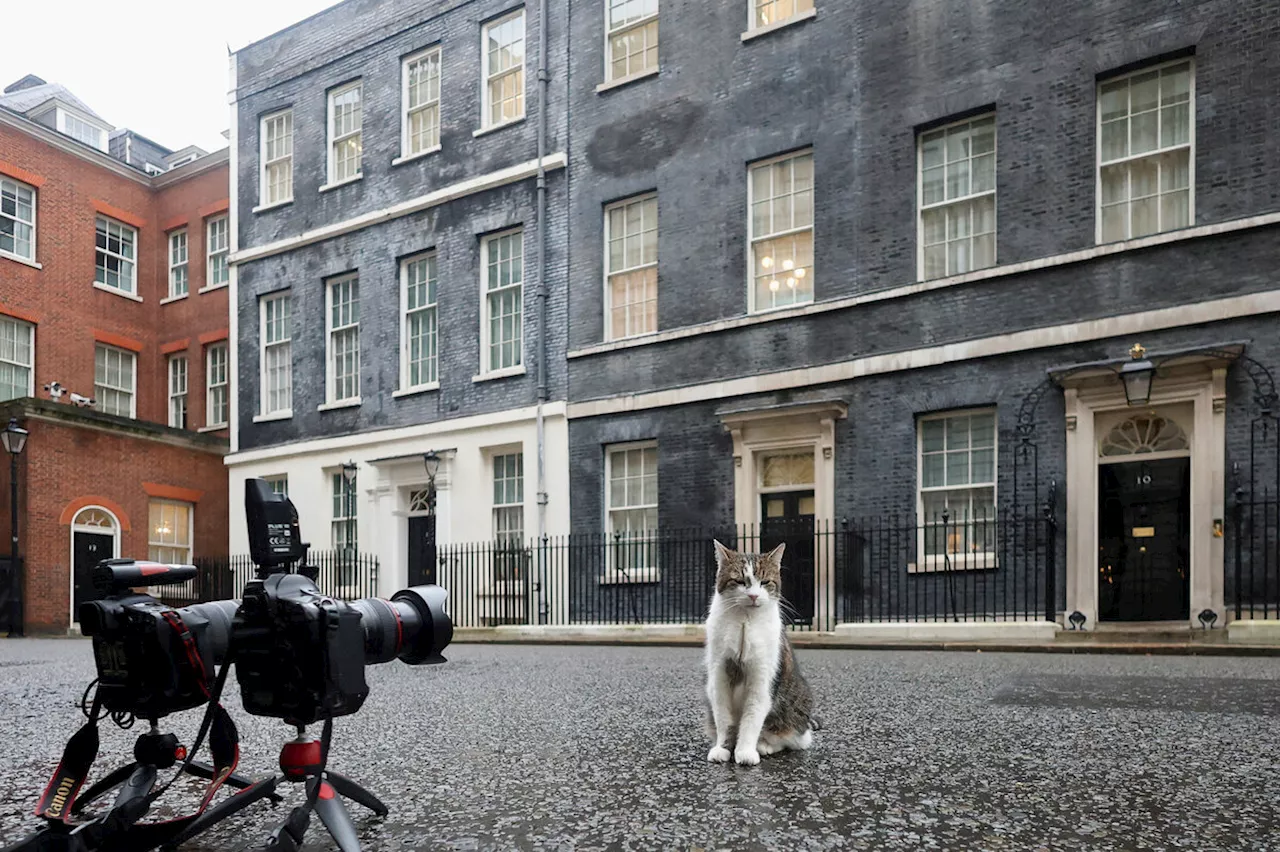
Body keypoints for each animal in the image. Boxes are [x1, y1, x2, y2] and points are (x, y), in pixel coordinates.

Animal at [706, 539, 814, 767]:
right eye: (739, 581)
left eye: (764, 582)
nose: (754, 595)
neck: (745, 619)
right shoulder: (719, 674)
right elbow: (723, 718)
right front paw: (723, 748)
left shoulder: (761, 676)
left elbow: (752, 718)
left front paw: (745, 751)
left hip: (796, 707)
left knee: (794, 739)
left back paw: (764, 746)